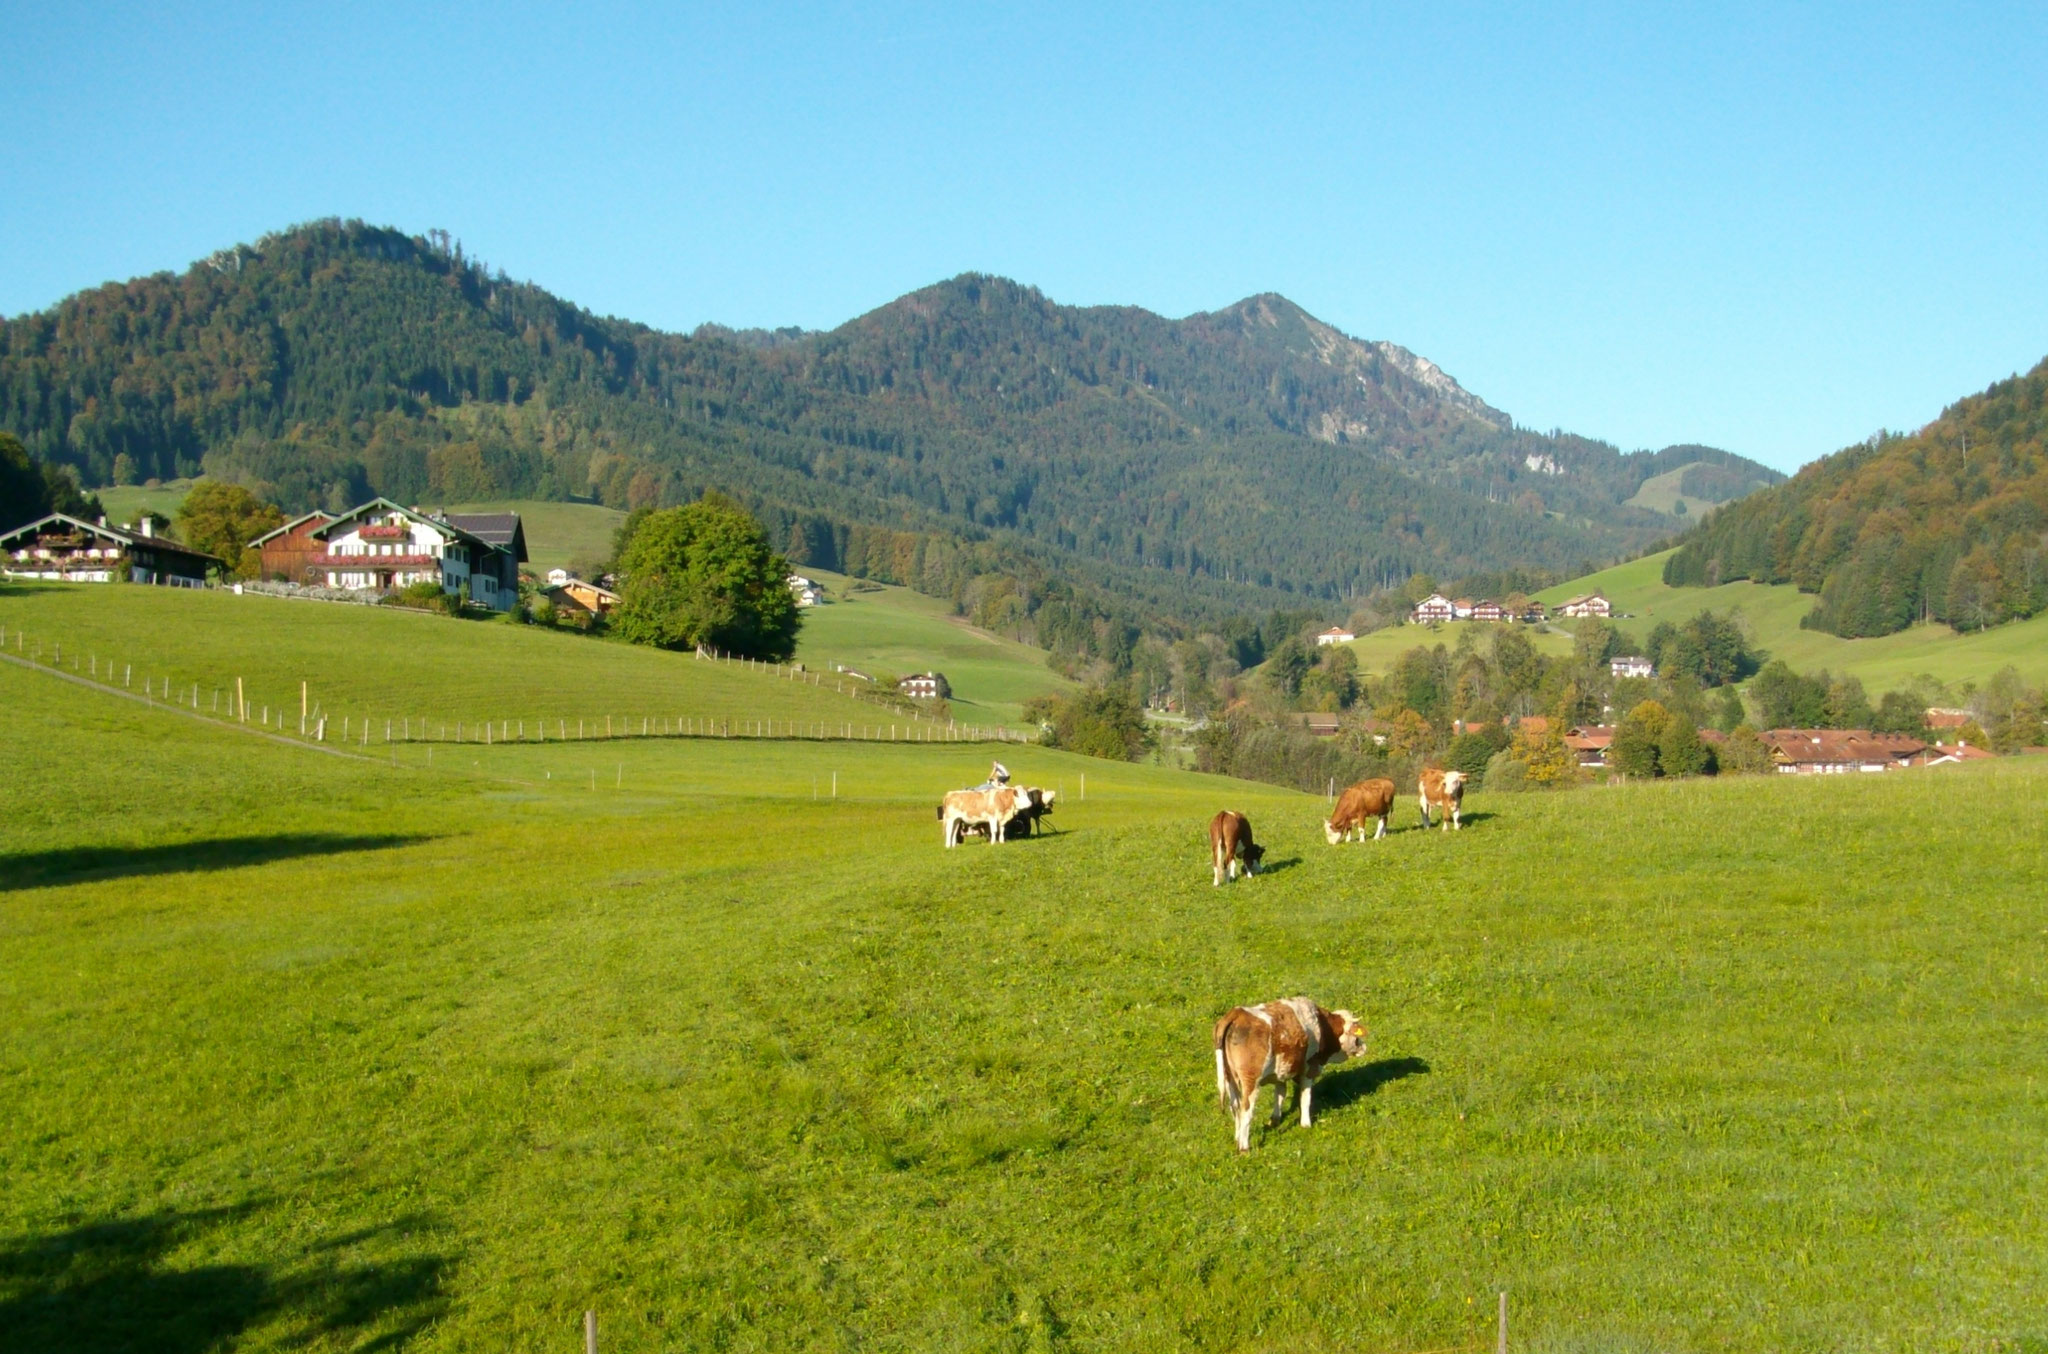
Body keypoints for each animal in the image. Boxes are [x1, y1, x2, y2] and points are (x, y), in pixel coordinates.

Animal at [1204, 991, 1368, 1155]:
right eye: (1356, 1035)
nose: (1364, 1047)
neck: (1323, 1026)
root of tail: (1237, 1013)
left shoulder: (1281, 1072)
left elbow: (1280, 1094)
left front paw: (1275, 1120)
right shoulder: (1310, 1068)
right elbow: (1305, 1097)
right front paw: (1306, 1124)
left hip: (1230, 1077)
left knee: (1235, 1106)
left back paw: (1237, 1138)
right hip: (1250, 1080)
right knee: (1246, 1110)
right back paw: (1244, 1147)